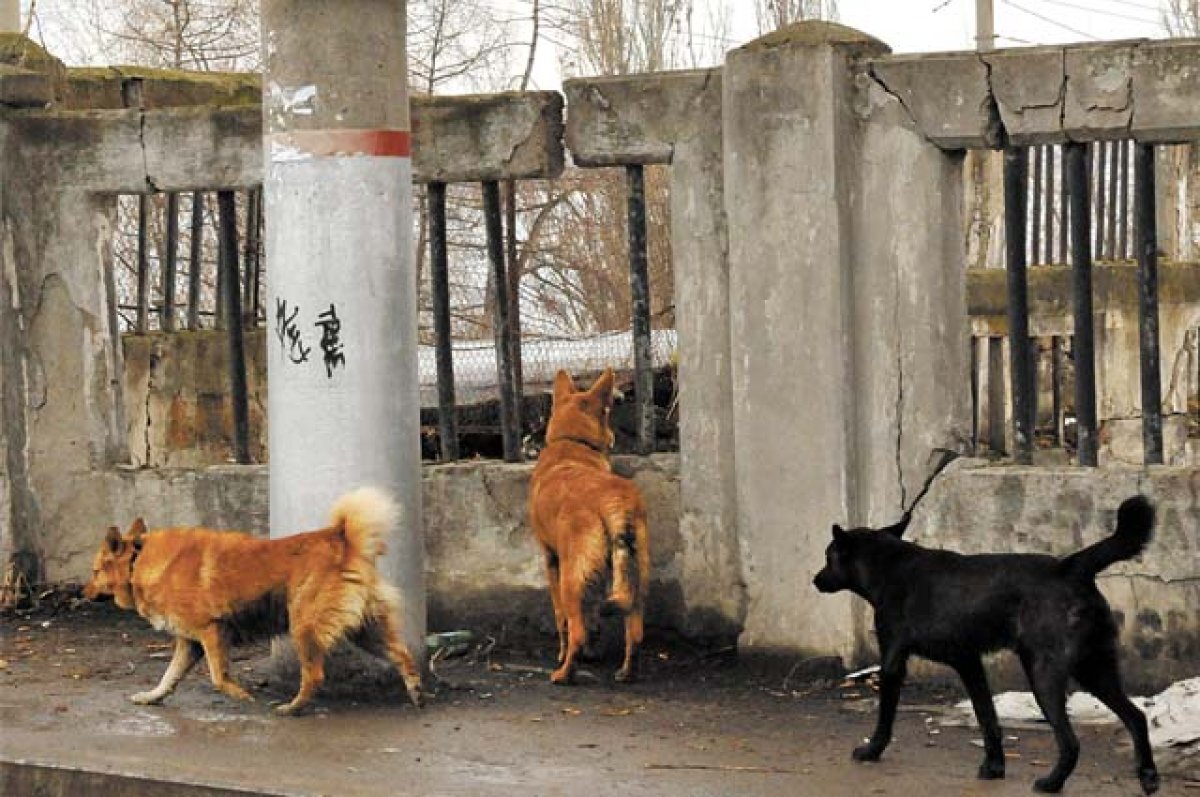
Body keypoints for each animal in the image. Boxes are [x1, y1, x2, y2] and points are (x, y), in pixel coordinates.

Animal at [811, 494, 1156, 792]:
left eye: (828, 557)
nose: (815, 580)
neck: (887, 566)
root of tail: (1070, 567)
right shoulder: (968, 663)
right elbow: (987, 717)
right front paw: (994, 767)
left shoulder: (892, 661)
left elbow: (885, 716)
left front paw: (871, 750)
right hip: (1094, 669)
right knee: (1136, 717)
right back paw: (1148, 776)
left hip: (1045, 674)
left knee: (1071, 741)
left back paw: (1052, 783)